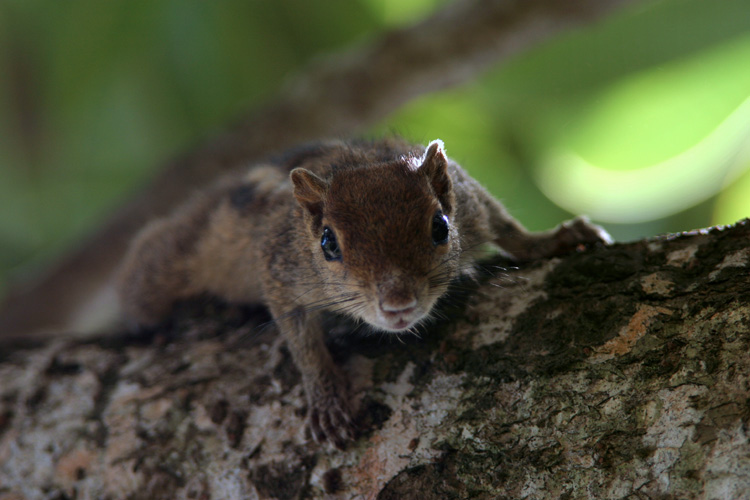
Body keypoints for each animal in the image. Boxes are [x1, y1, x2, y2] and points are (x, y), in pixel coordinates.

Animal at [116, 138, 612, 450]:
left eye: (440, 226)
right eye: (327, 243)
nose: (398, 305)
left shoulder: (472, 204)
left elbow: (509, 229)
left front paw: (555, 239)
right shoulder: (278, 269)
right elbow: (301, 341)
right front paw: (327, 400)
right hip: (168, 263)